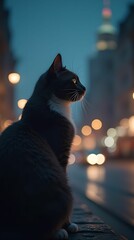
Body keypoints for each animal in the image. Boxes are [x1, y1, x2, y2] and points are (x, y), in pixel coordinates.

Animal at [0, 54, 86, 240]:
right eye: (74, 80)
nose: (84, 87)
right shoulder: (61, 154)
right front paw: (68, 225)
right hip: (64, 191)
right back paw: (58, 231)